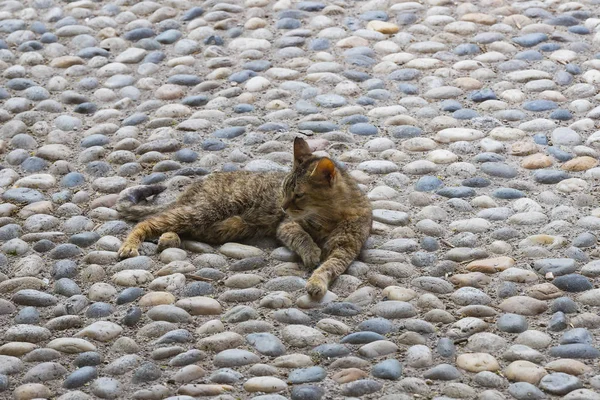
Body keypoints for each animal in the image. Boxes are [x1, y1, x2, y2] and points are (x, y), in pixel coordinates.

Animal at [115, 138, 372, 296]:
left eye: (298, 195)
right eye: (283, 190)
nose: (283, 207)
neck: (329, 216)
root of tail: (189, 189)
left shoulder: (346, 248)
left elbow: (329, 267)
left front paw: (317, 282)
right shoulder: (287, 226)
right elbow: (302, 236)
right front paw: (311, 252)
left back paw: (168, 239)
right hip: (205, 211)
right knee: (148, 221)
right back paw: (130, 245)